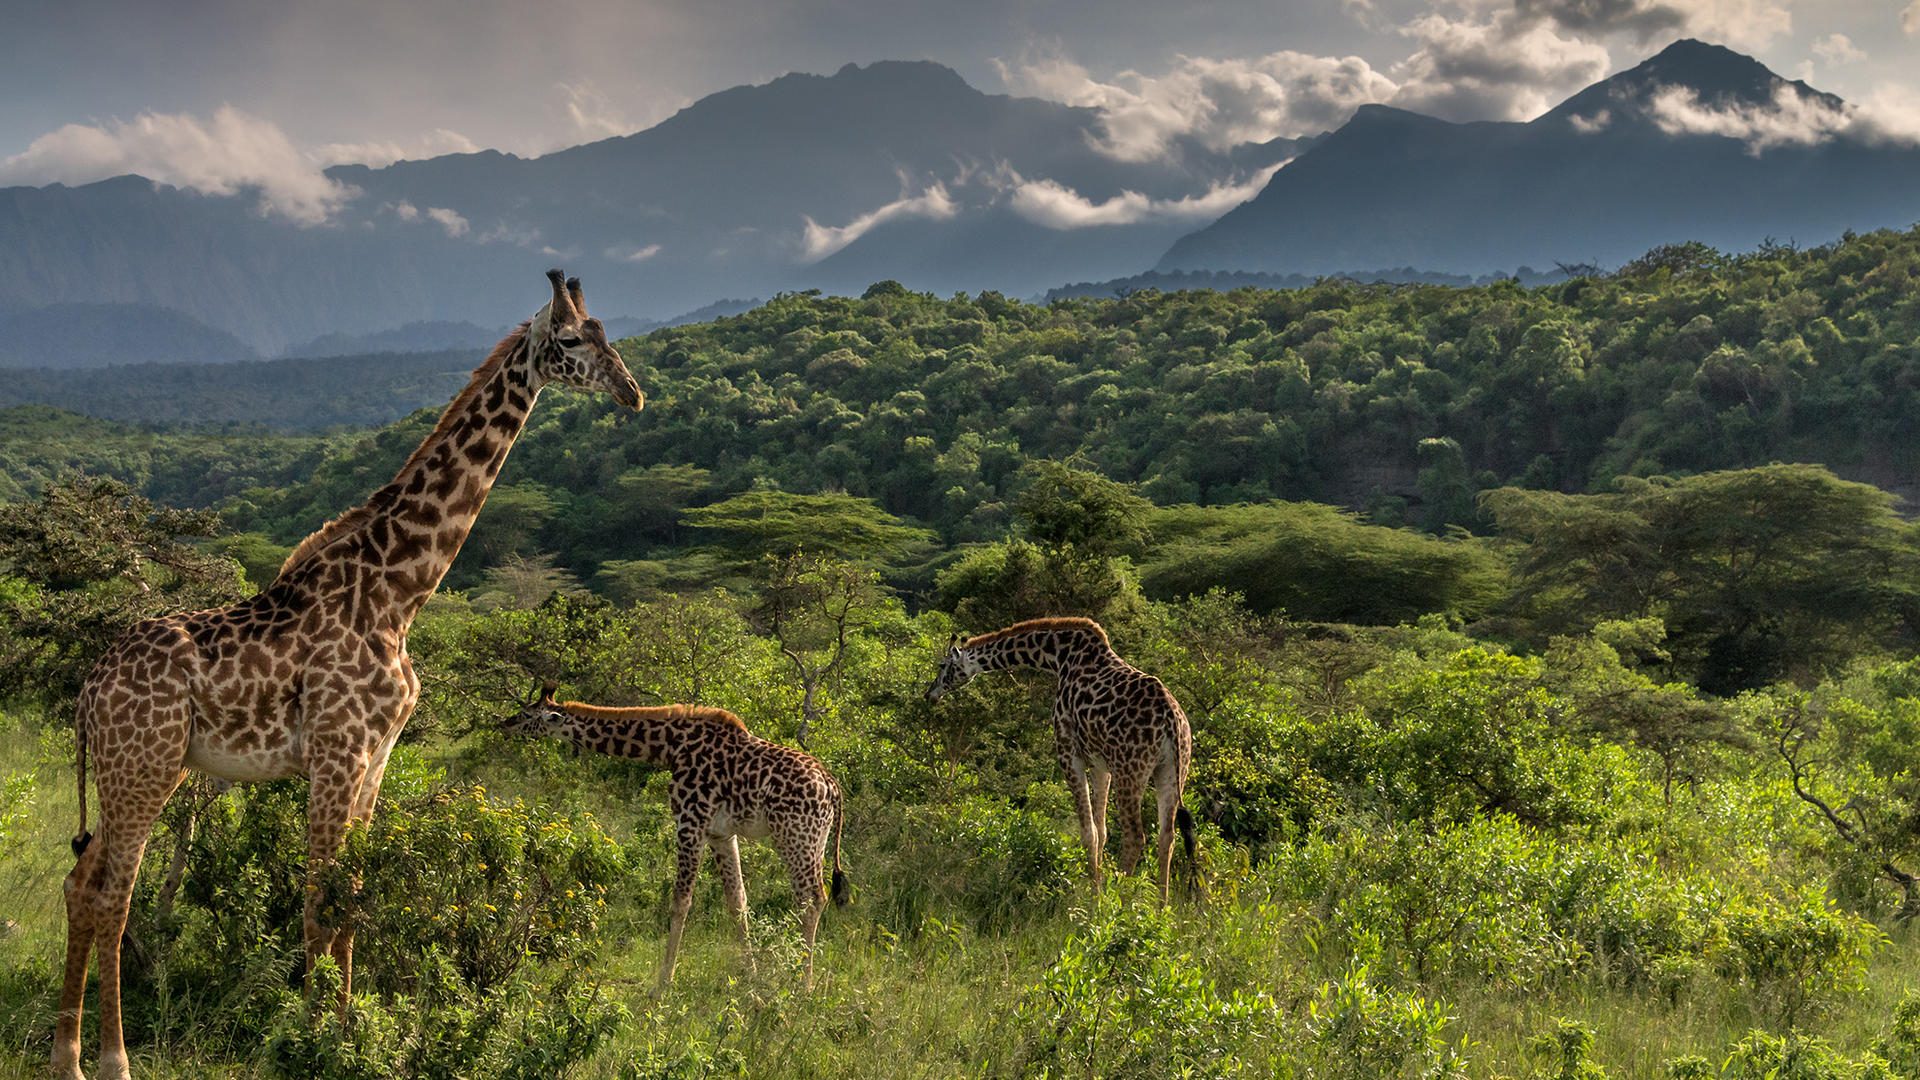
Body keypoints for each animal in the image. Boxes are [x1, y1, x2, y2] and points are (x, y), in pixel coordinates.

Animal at [54, 269, 645, 1076]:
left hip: (143, 769)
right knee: (114, 894)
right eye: (570, 339)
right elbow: (317, 903)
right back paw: (110, 1059)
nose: (631, 392)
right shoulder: (337, 752)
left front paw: (347, 1032)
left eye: (606, 333)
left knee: (81, 883)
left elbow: (352, 901)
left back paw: (66, 1055)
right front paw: (308, 1040)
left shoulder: (376, 757)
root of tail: (88, 691)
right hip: (142, 765)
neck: (400, 591)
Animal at [503, 684, 848, 991]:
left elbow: (681, 901)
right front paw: (749, 976)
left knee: (812, 898)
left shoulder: (689, 823)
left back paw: (802, 985)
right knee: (810, 897)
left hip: (795, 836)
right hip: (815, 840)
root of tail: (832, 787)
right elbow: (737, 901)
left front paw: (662, 984)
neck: (671, 748)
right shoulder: (721, 834)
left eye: (527, 714)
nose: (503, 724)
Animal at [921, 614, 1190, 899]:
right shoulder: (1101, 764)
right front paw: (1097, 884)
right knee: (1167, 837)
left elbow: (1088, 832)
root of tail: (1172, 719)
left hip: (1130, 770)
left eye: (942, 665)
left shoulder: (1068, 752)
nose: (930, 694)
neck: (1058, 657)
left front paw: (1094, 896)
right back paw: (1162, 906)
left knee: (1135, 837)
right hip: (1171, 771)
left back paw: (1119, 902)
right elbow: (1102, 830)